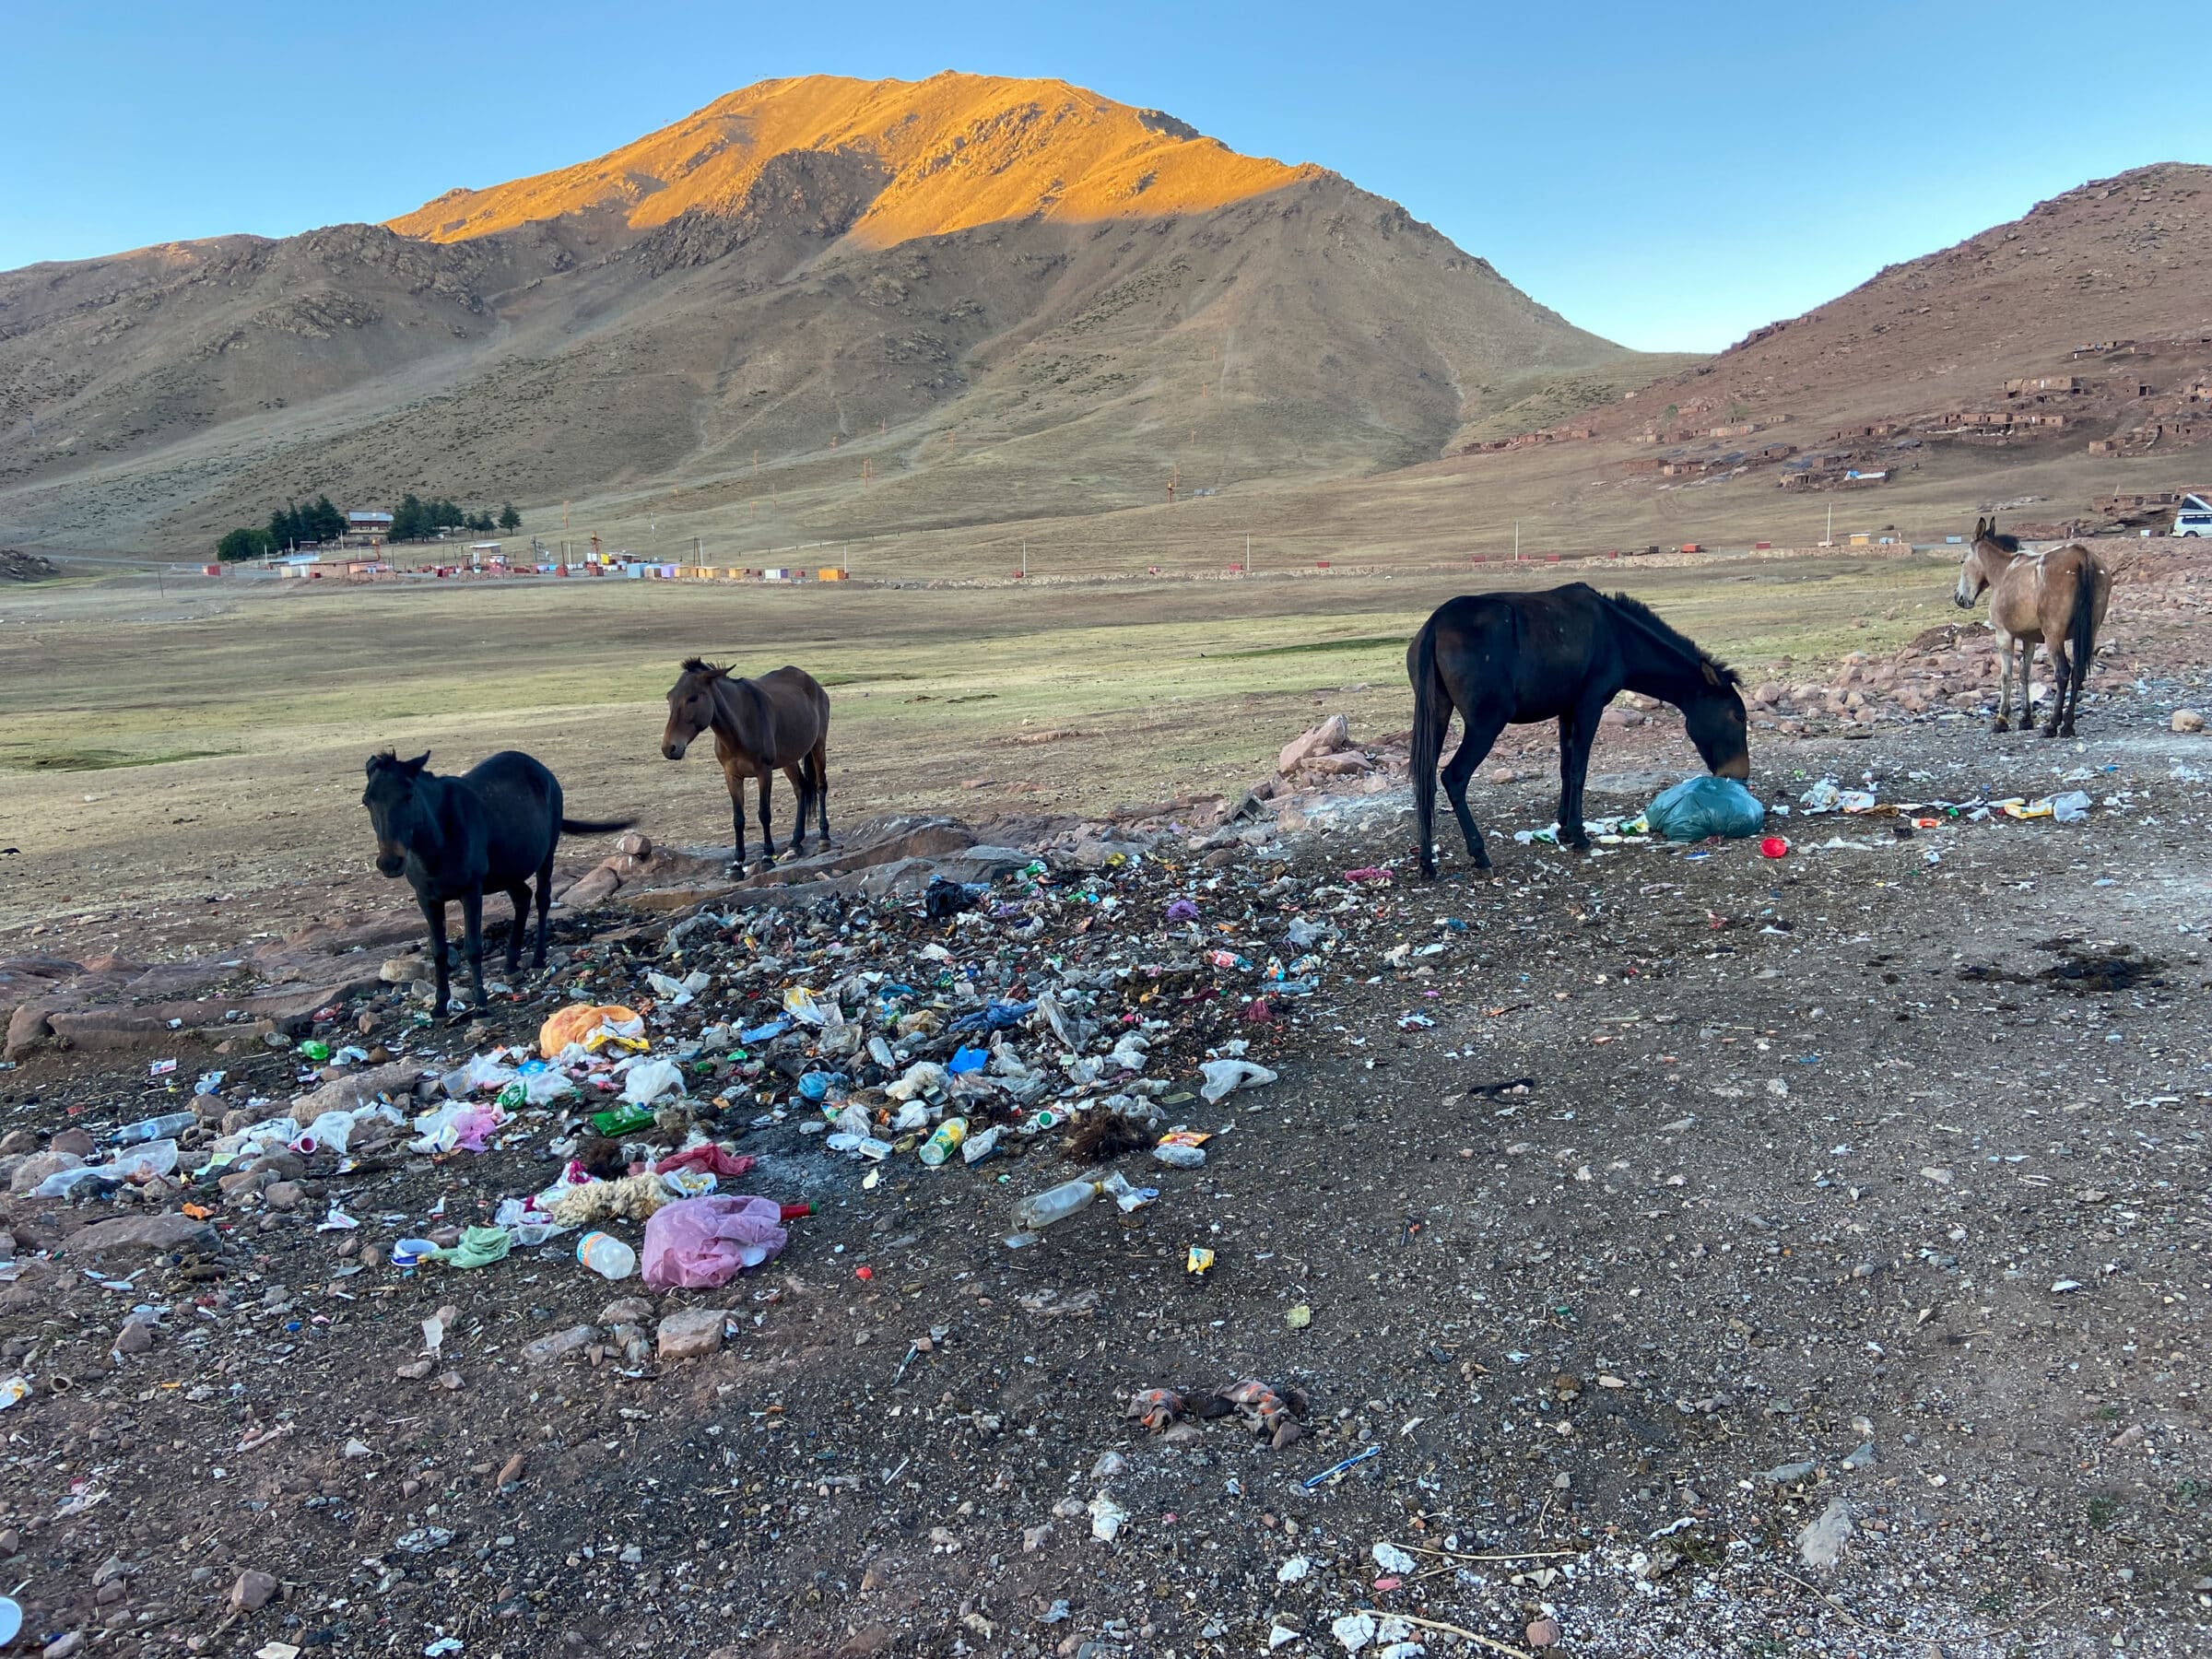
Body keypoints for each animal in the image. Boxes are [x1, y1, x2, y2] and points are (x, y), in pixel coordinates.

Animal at [362, 752, 637, 1013]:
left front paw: (480, 1003)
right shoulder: (427, 898)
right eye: (367, 801)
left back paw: (537, 958)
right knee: (522, 898)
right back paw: (510, 963)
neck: (438, 841)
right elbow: (439, 951)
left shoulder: (471, 891)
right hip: (508, 871)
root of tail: (541, 769)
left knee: (542, 899)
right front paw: (440, 1006)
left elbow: (473, 948)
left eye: (408, 796)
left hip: (546, 856)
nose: (389, 862)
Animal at [659, 659, 831, 876]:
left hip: (818, 745)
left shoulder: (764, 772)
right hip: (789, 759)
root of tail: (813, 682)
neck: (739, 729)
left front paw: (767, 857)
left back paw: (824, 838)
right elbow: (738, 819)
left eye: (692, 697)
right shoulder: (732, 776)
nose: (669, 748)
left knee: (820, 786)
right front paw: (737, 864)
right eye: (669, 697)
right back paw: (794, 844)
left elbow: (764, 814)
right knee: (801, 789)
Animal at [1406, 588, 1751, 885]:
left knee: (1425, 782)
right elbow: (1578, 769)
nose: (1739, 774)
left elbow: (1564, 767)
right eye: (1738, 715)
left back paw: (1427, 862)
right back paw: (1479, 854)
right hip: (1485, 724)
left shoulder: (1566, 709)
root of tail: (1435, 626)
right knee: (1453, 777)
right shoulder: (1589, 704)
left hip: (1438, 713)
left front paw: (1562, 829)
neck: (1619, 637)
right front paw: (1578, 833)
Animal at [1955, 512, 2105, 734]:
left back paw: (2053, 724)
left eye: (1963, 561)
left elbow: (2006, 675)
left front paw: (2001, 719)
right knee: (2078, 672)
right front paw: (2026, 718)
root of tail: (2081, 556)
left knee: (2063, 672)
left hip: (2054, 636)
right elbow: (2025, 674)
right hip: (2090, 632)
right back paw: (2068, 724)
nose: (1959, 598)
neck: (2004, 571)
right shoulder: (2030, 639)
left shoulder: (2003, 635)